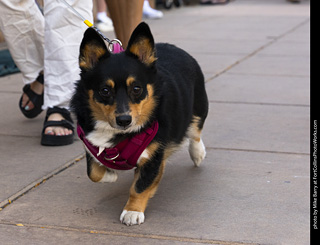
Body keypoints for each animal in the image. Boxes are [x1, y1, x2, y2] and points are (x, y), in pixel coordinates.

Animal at [71, 22, 209, 226]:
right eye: (105, 90)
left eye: (136, 89)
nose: (124, 120)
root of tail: (174, 47)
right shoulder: (90, 146)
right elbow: (93, 172)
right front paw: (110, 174)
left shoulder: (153, 157)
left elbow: (139, 187)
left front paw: (132, 211)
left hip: (199, 106)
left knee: (195, 131)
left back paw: (198, 153)